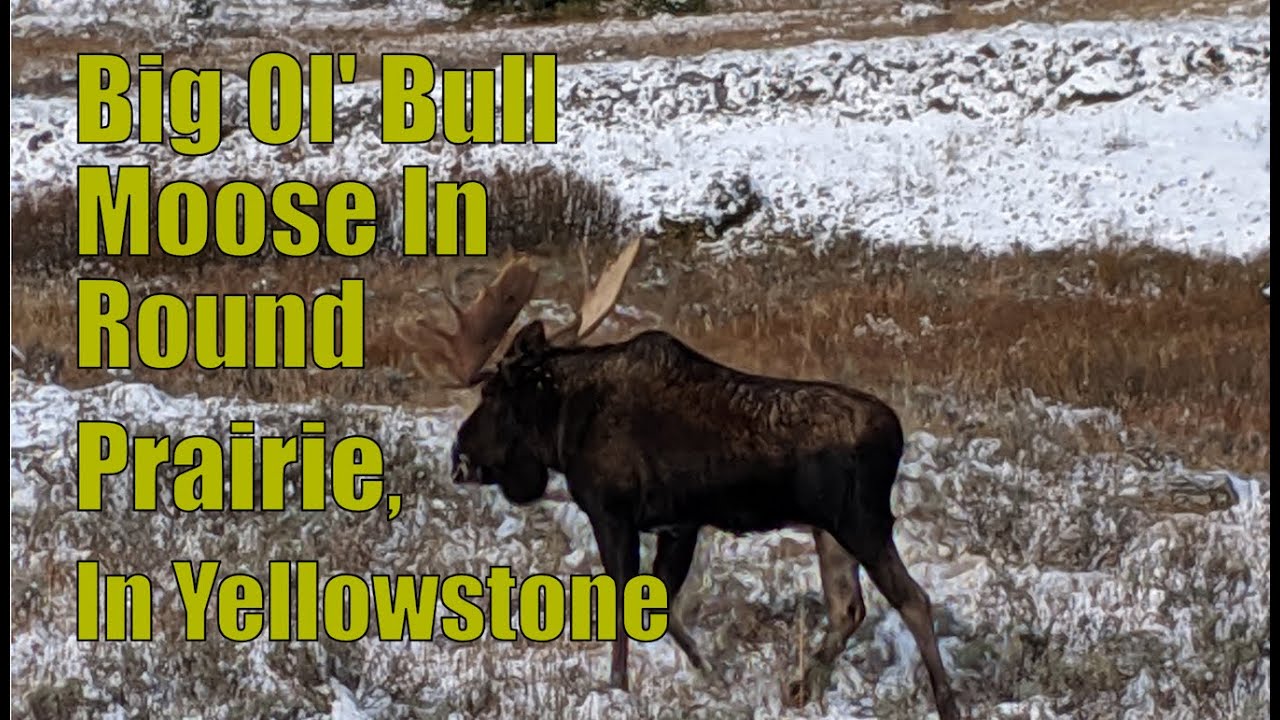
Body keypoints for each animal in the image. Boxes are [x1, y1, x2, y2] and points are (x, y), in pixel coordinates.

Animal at [394, 239, 961, 720]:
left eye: (491, 394)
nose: (460, 457)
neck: (563, 425)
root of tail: (895, 434)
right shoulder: (680, 524)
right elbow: (660, 604)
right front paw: (710, 674)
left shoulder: (612, 512)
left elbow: (626, 602)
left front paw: (617, 686)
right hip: (829, 531)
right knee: (848, 608)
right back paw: (800, 687)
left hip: (862, 522)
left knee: (913, 600)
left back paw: (945, 702)